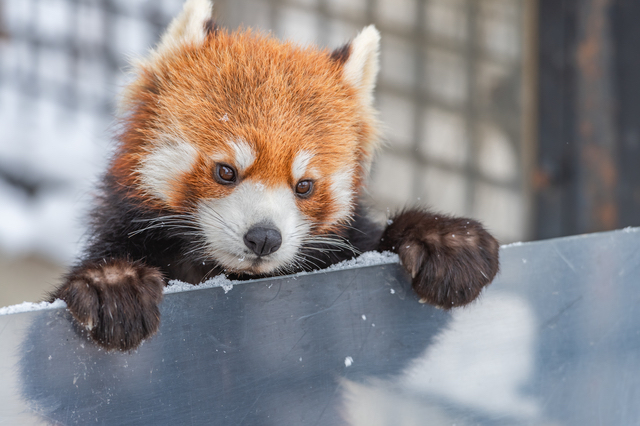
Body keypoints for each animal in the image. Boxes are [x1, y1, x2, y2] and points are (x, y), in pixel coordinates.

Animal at [51, 0, 500, 352]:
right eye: (226, 171)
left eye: (304, 186)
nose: (264, 237)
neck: (228, 274)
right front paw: (112, 284)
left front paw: (445, 241)